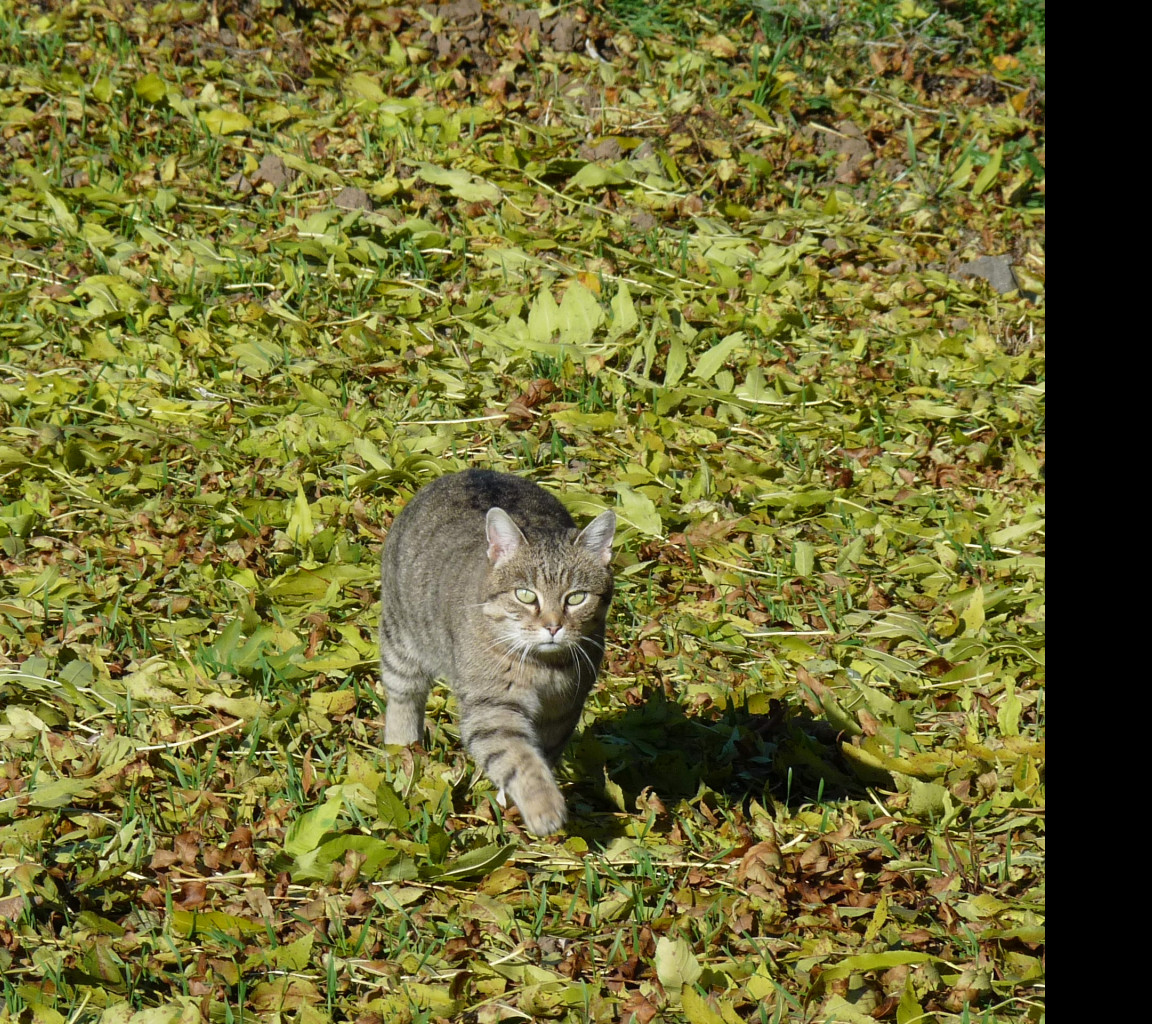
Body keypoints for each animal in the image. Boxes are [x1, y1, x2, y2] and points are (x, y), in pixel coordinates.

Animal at [377, 467, 617, 833]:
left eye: (576, 598)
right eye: (526, 595)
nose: (552, 626)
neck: (544, 668)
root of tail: (473, 470)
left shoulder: (564, 710)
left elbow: (540, 754)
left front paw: (512, 801)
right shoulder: (492, 708)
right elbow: (519, 758)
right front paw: (543, 807)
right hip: (401, 639)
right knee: (403, 696)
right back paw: (402, 748)